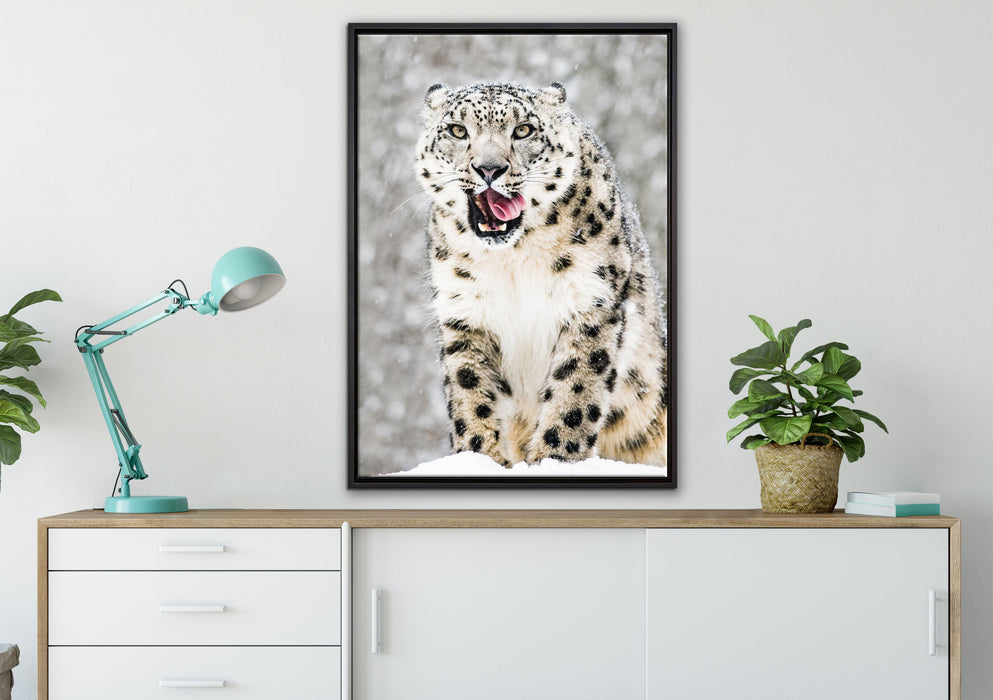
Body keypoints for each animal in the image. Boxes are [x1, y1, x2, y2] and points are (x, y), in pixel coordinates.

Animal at [415, 81, 668, 468]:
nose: (489, 168)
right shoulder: (466, 312)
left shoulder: (590, 300)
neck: (513, 260)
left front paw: (555, 457)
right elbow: (470, 392)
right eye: (457, 130)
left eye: (523, 130)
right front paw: (479, 457)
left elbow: (574, 391)